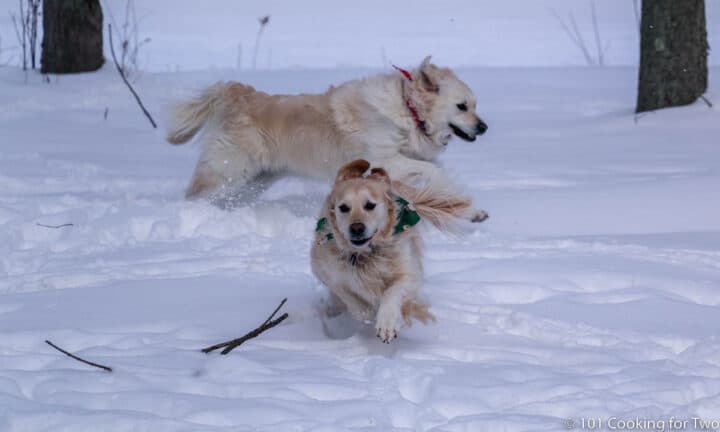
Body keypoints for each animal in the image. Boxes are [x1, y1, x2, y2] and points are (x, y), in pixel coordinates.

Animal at [165, 57, 490, 223]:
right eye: (462, 106)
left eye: (475, 105)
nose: (484, 127)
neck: (408, 110)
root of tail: (240, 94)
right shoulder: (387, 160)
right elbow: (434, 173)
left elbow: (441, 183)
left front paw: (472, 212)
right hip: (229, 171)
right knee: (195, 193)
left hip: (254, 181)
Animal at [310, 160, 472, 342]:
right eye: (343, 207)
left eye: (370, 205)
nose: (356, 228)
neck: (365, 255)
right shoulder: (325, 271)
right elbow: (350, 298)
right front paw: (367, 312)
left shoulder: (408, 273)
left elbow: (392, 293)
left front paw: (386, 324)